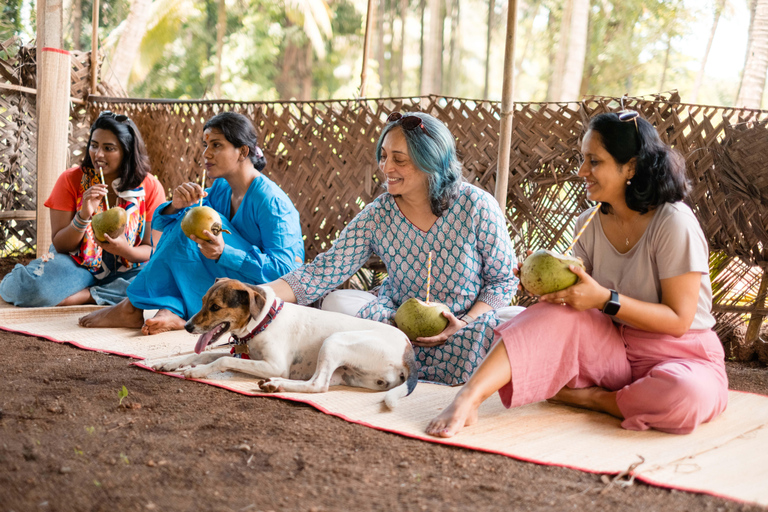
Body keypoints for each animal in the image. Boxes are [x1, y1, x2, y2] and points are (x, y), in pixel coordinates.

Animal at [147, 278, 416, 410]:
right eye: (203, 300)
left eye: (215, 307)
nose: (187, 327)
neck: (264, 320)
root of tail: (408, 351)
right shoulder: (243, 355)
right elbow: (200, 355)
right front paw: (169, 363)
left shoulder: (274, 364)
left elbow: (220, 359)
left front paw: (197, 372)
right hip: (347, 374)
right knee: (316, 382)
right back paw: (274, 385)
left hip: (334, 341)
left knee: (318, 385)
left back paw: (275, 384)